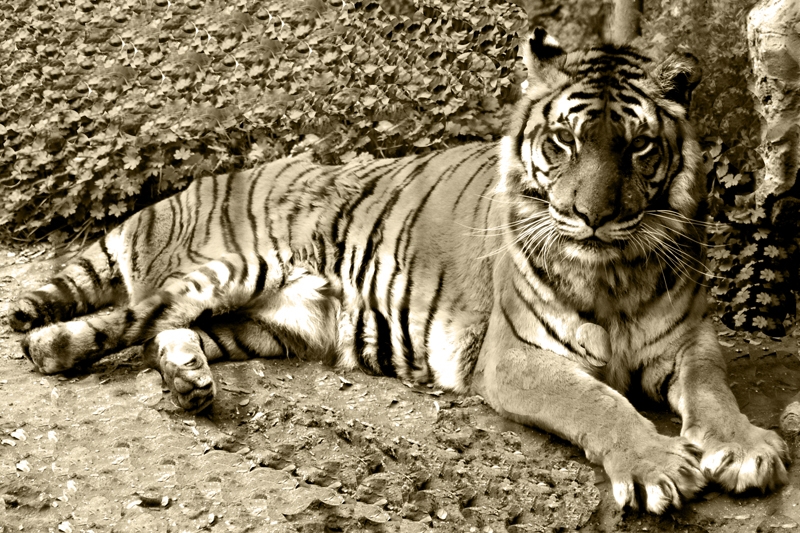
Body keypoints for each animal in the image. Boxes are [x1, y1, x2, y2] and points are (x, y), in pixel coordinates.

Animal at [9, 30, 792, 512]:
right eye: (563, 142)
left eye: (637, 147)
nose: (590, 216)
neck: (615, 270)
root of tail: (182, 192)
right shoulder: (517, 356)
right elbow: (599, 403)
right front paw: (658, 465)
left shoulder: (689, 341)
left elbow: (714, 392)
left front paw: (745, 447)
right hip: (229, 269)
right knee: (126, 319)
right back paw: (52, 346)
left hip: (271, 327)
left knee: (164, 333)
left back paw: (187, 380)